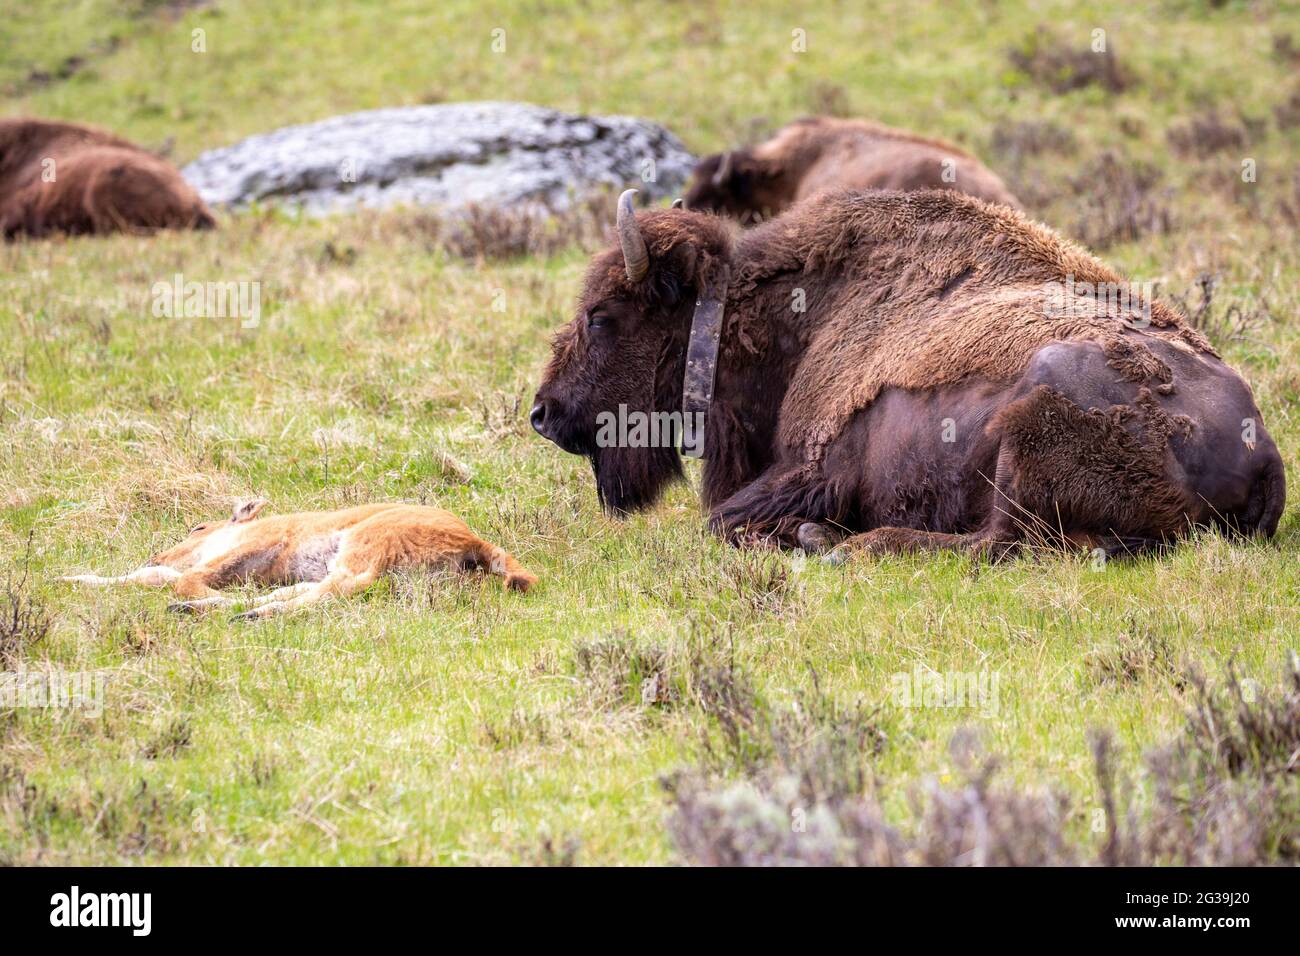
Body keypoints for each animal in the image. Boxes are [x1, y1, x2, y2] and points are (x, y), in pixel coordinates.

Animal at [533, 188, 1284, 561]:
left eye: (601, 316)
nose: (544, 412)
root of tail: (1264, 451)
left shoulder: (813, 469)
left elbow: (722, 521)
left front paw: (806, 535)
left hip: (1028, 431)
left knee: (995, 545)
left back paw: (844, 544)